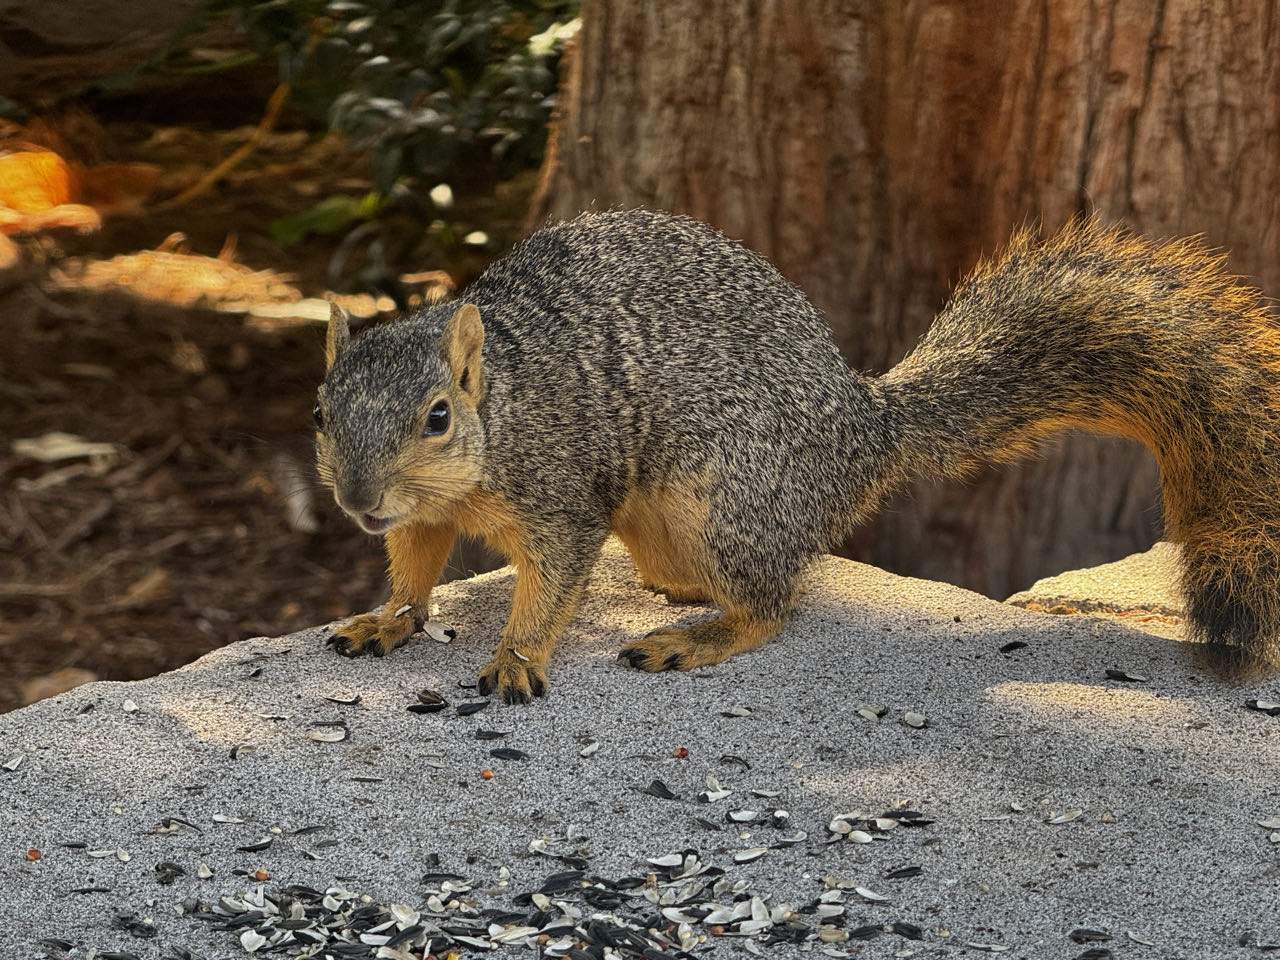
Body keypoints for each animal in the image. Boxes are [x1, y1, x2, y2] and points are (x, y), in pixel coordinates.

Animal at [315, 208, 1280, 702]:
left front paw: (518, 659)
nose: (358, 501)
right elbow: (414, 571)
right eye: (320, 412)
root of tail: (862, 430)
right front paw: (387, 618)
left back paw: (693, 640)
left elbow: (550, 582)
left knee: (774, 604)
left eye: (439, 417)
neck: (502, 413)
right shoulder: (419, 518)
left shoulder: (559, 493)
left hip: (726, 496)